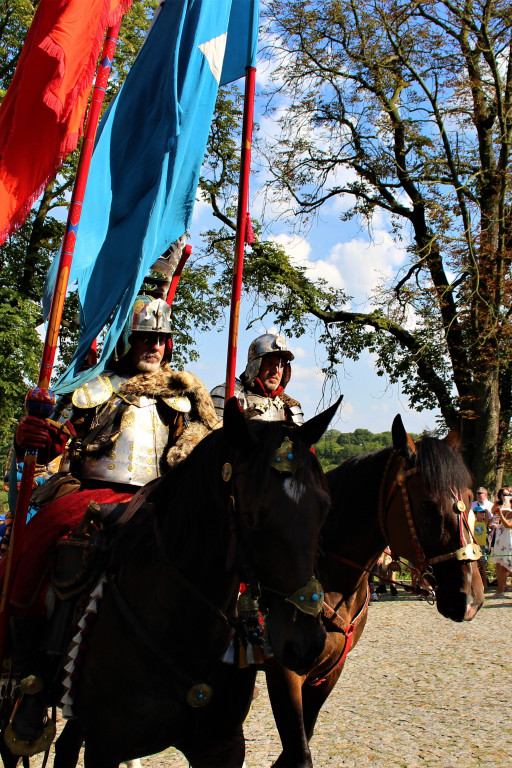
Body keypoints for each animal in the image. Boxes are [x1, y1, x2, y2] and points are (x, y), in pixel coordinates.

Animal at [0, 400, 338, 764]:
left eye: (324, 507)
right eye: (252, 515)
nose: (308, 644)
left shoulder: (223, 746)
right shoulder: (105, 746)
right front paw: (32, 432)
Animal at [264, 416, 484, 764]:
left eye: (468, 496)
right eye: (427, 504)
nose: (470, 599)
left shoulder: (328, 671)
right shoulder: (285, 673)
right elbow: (299, 753)